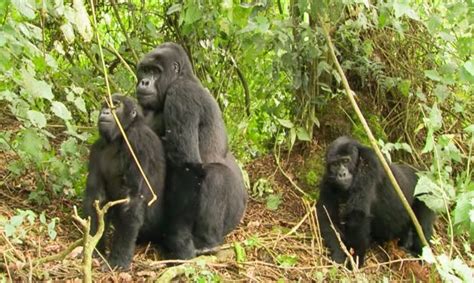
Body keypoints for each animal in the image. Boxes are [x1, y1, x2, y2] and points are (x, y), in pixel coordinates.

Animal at [83, 94, 167, 270]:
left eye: (115, 106)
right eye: (105, 105)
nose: (105, 112)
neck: (122, 134)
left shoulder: (137, 142)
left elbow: (132, 200)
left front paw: (118, 260)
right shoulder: (97, 148)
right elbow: (97, 199)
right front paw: (94, 248)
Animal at [134, 41, 248, 260]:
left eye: (155, 71)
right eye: (144, 70)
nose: (143, 82)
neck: (182, 77)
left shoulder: (182, 95)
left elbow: (185, 167)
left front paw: (179, 242)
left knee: (216, 176)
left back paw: (206, 243)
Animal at [316, 136, 436, 268]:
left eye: (346, 161)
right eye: (335, 164)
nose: (341, 174)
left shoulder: (369, 164)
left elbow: (358, 215)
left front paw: (355, 262)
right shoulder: (328, 179)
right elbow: (327, 216)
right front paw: (338, 255)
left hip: (428, 195)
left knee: (423, 226)